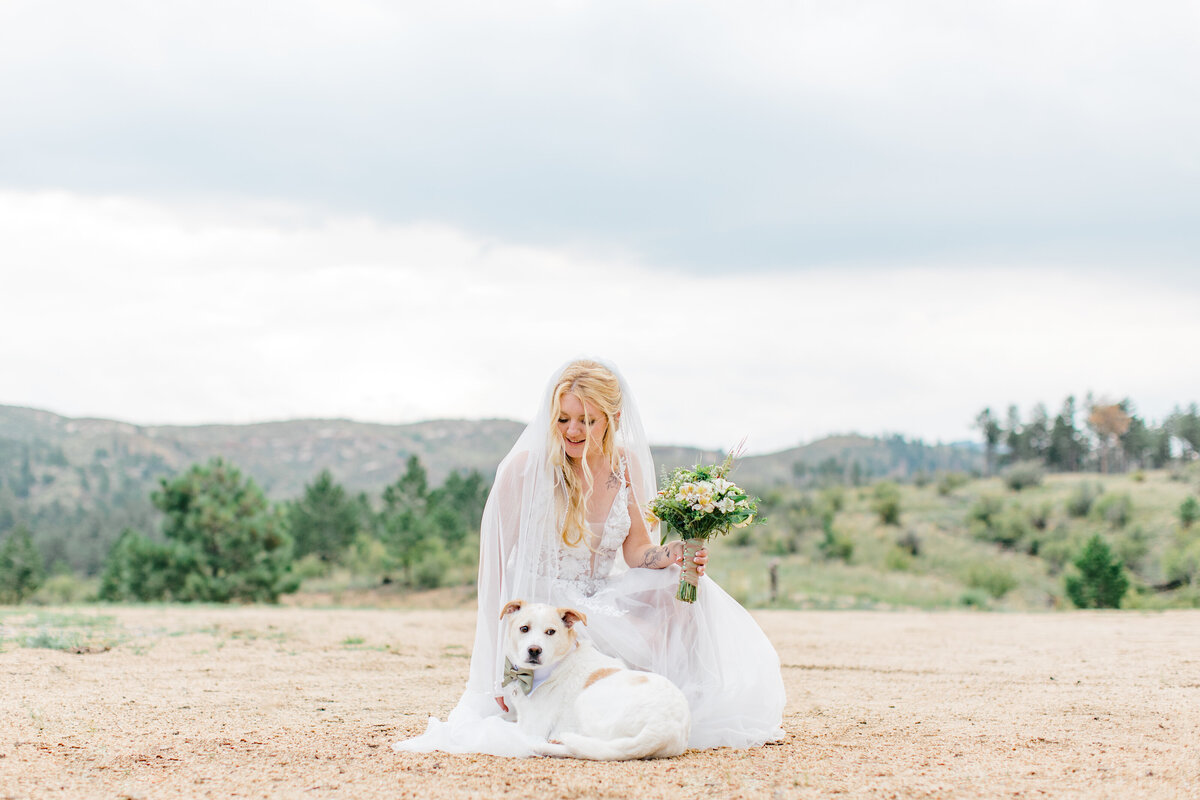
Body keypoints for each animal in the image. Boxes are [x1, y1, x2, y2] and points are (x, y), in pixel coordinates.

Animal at [496, 599, 691, 762]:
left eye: (550, 632)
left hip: (585, 702)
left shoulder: (532, 727)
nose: (534, 650)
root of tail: (661, 728)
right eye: (524, 629)